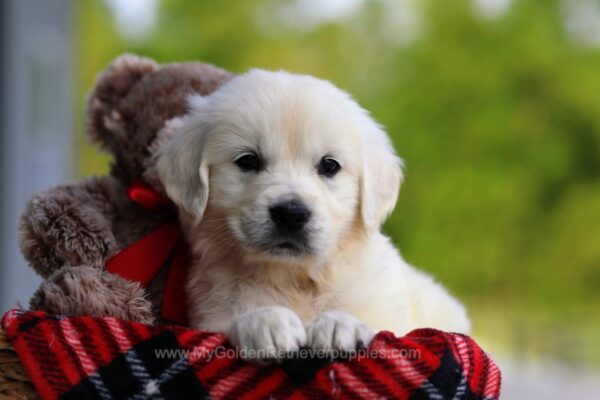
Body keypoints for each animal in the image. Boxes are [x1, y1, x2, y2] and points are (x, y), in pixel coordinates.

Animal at [157, 69, 472, 362]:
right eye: (247, 160)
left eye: (329, 165)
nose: (290, 214)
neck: (294, 279)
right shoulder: (212, 313)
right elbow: (235, 320)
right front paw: (267, 323)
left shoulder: (390, 314)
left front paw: (338, 326)